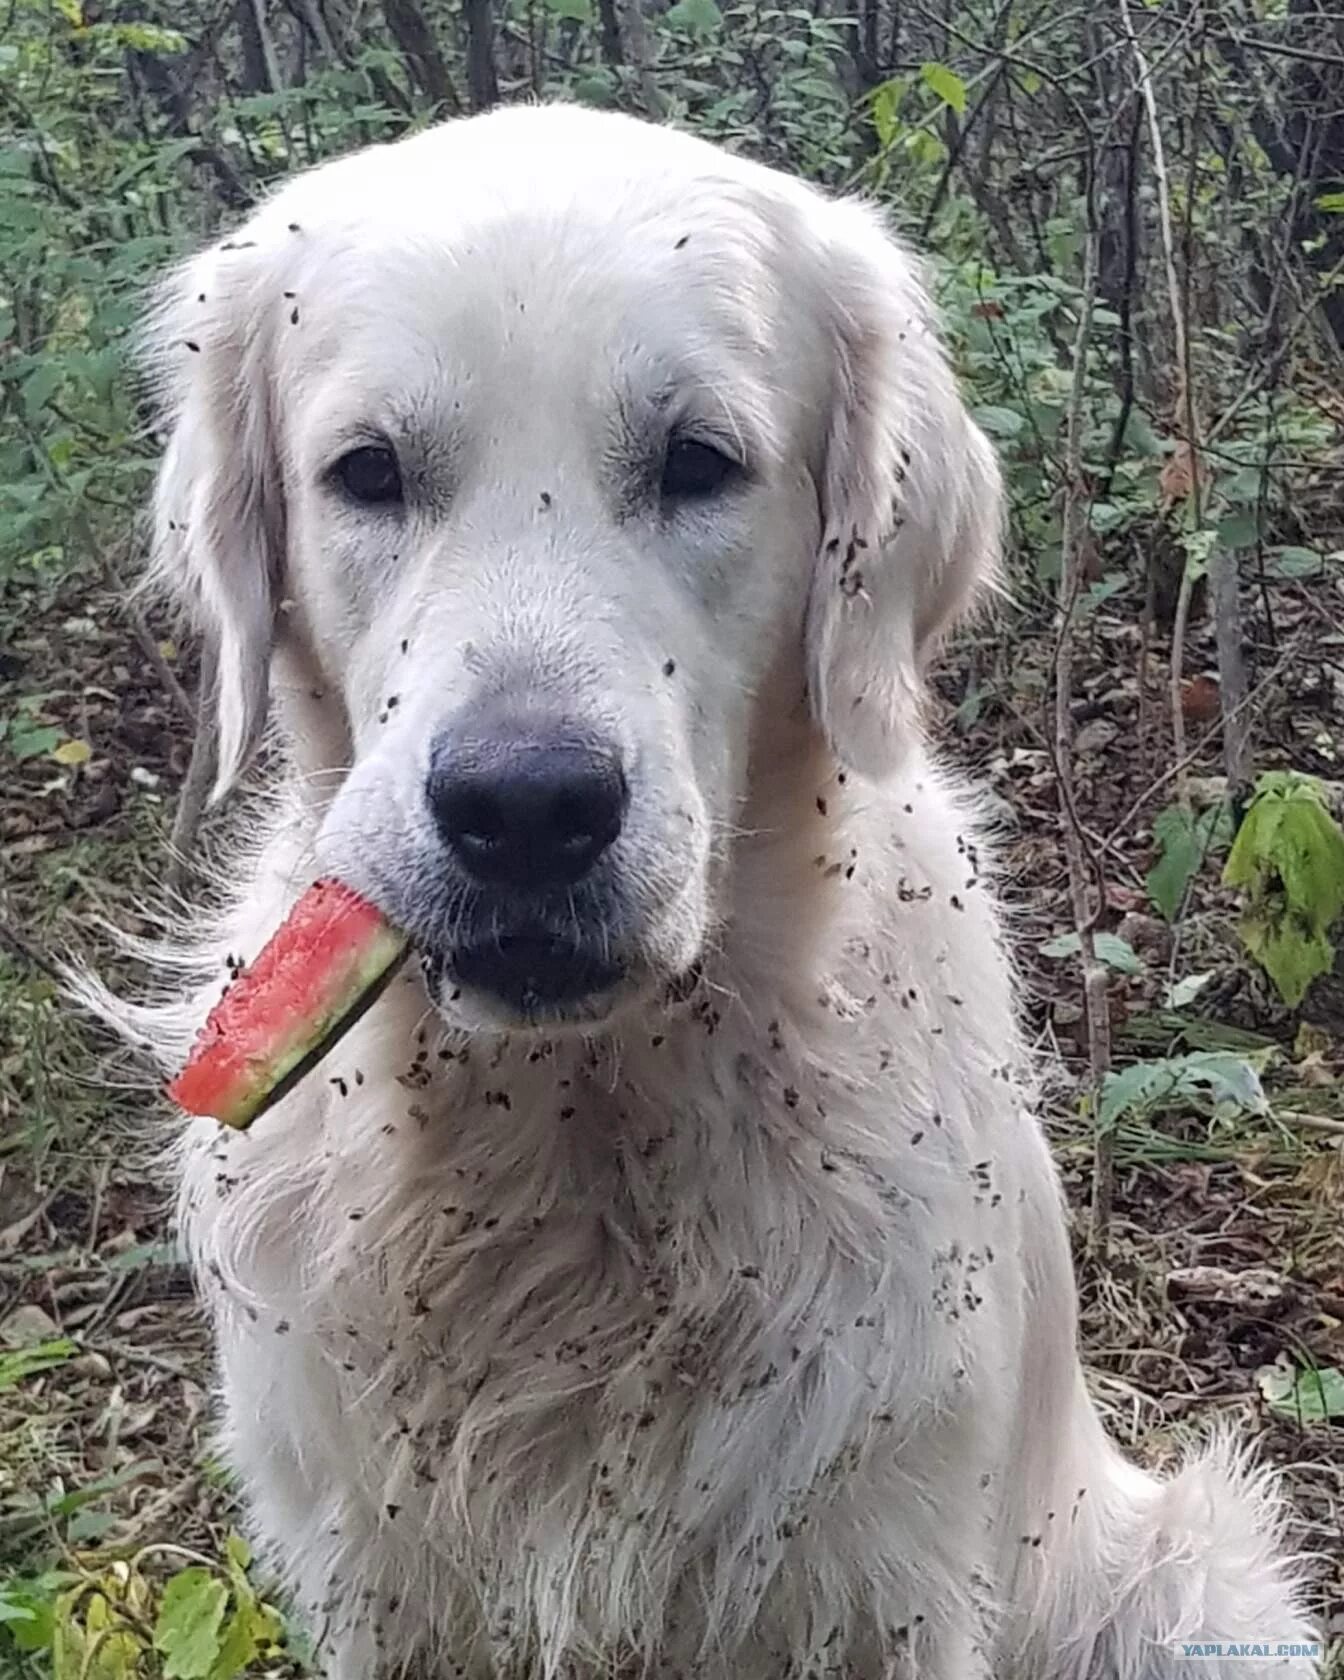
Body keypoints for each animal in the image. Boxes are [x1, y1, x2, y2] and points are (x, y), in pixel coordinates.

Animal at [102, 108, 1310, 1680]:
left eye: (697, 462)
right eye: (367, 472)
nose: (525, 809)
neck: (580, 1151)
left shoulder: (885, 1581)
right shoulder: (376, 1587)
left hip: (1192, 1582)